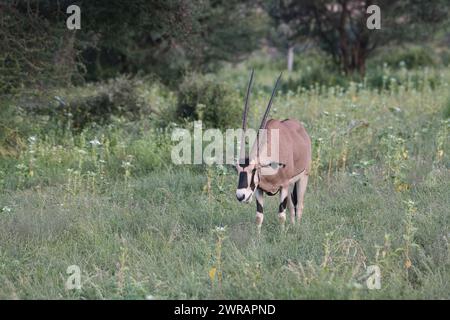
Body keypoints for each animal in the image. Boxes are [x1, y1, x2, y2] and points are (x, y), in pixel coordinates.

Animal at [234, 70, 312, 231]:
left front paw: (281, 234)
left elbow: (281, 215)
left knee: (299, 205)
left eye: (254, 169)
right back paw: (293, 225)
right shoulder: (259, 189)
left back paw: (297, 227)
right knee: (292, 207)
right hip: (290, 185)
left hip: (303, 177)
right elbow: (259, 216)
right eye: (237, 169)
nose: (240, 196)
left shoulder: (283, 186)